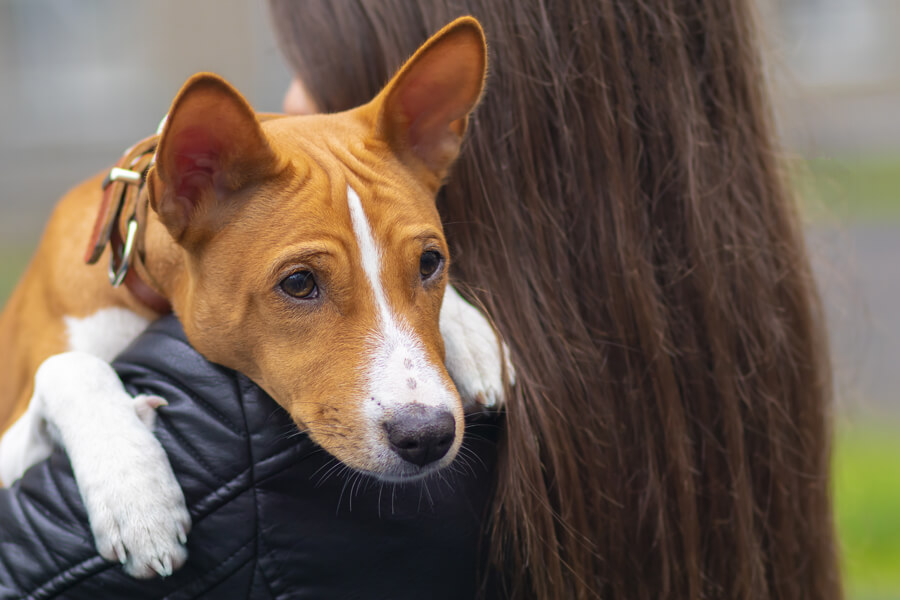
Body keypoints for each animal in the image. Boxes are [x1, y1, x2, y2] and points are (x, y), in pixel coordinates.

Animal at [0, 18, 510, 580]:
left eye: (430, 263)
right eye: (299, 283)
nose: (428, 436)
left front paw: (468, 333)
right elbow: (68, 366)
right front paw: (134, 492)